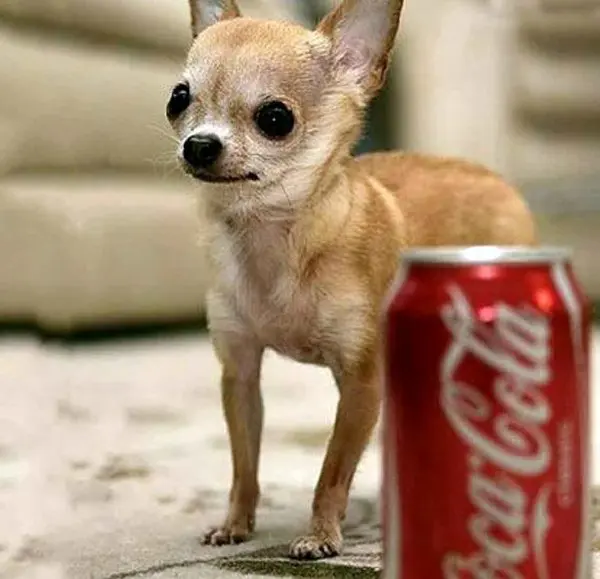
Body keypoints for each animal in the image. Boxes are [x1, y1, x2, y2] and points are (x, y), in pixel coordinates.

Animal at [166, 0, 536, 560]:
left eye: (275, 119)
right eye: (178, 99)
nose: (199, 145)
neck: (274, 239)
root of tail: (498, 181)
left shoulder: (361, 381)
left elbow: (332, 471)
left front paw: (321, 535)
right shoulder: (241, 374)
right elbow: (243, 465)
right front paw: (236, 523)